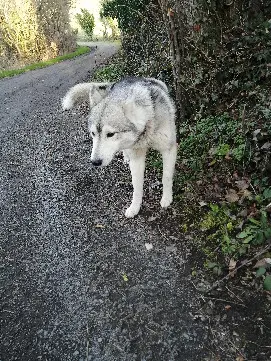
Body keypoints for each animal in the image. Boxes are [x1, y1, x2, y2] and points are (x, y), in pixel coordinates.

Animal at [62, 76, 177, 217]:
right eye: (93, 134)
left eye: (110, 134)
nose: (95, 162)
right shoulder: (137, 158)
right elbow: (137, 187)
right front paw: (134, 208)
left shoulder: (169, 149)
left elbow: (166, 177)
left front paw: (167, 199)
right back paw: (126, 157)